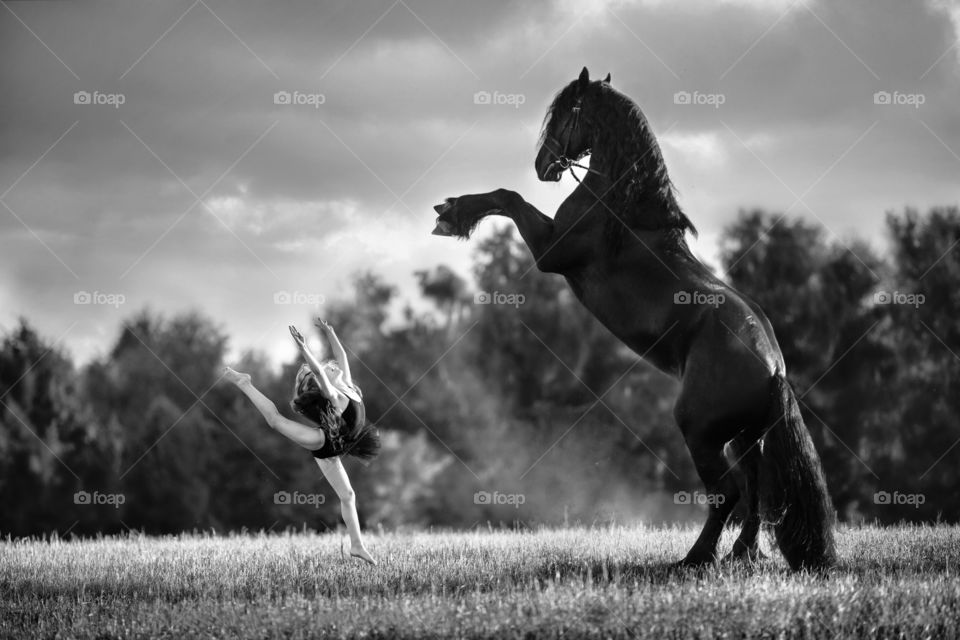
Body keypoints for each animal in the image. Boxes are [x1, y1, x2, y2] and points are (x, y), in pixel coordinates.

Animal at [432, 69, 836, 568]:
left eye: (566, 112)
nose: (544, 165)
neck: (617, 208)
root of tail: (774, 369)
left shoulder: (550, 252)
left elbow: (508, 197)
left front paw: (453, 213)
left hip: (700, 431)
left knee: (727, 493)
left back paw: (695, 558)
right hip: (746, 438)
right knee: (756, 490)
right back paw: (741, 555)